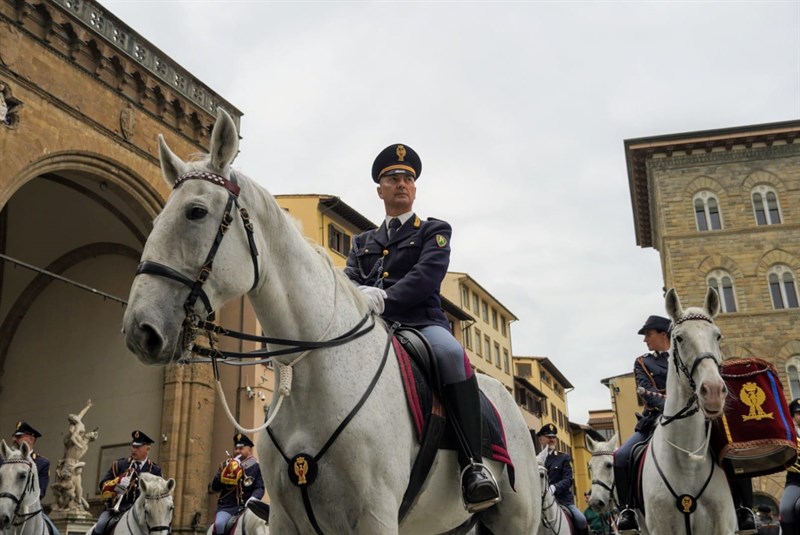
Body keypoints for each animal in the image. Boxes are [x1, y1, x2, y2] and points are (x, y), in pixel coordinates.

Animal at [122, 111, 540, 532]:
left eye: (196, 212)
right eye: (157, 219)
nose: (140, 330)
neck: (311, 378)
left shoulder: (375, 516)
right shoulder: (285, 519)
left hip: (515, 520)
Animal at [640, 288, 736, 535]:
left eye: (717, 336)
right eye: (680, 338)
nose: (713, 391)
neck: (687, 464)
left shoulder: (722, 526)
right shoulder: (661, 528)